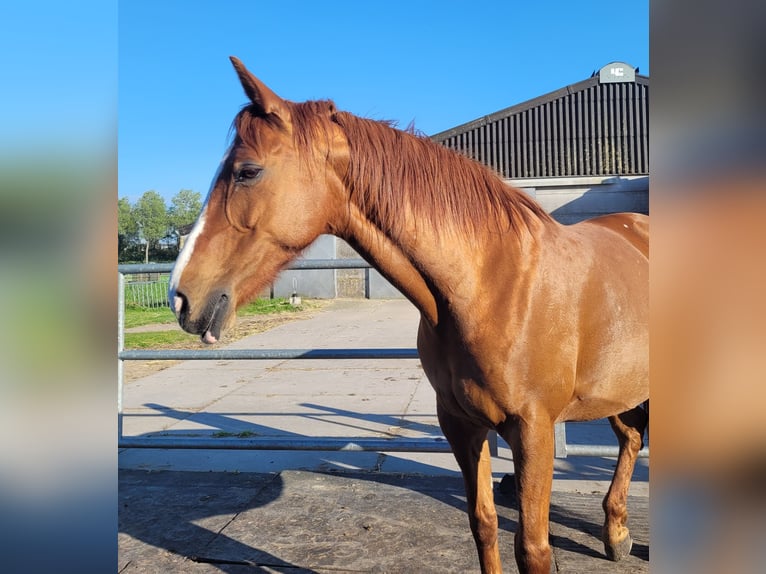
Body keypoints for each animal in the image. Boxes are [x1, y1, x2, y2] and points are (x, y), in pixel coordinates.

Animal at [168, 55, 648, 574]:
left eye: (247, 171)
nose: (180, 297)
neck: (490, 285)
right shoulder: (461, 425)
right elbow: (484, 525)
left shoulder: (534, 431)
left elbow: (533, 548)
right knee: (630, 439)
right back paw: (616, 533)